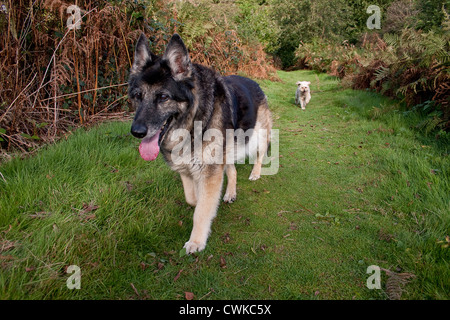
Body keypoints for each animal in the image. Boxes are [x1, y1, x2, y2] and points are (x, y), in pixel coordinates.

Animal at [128, 33, 272, 254]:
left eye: (163, 97)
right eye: (138, 96)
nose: (136, 132)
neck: (193, 120)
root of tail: (254, 82)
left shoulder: (210, 172)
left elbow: (202, 210)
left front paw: (196, 241)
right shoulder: (188, 170)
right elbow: (193, 199)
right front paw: (199, 201)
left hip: (258, 138)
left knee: (259, 156)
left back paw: (255, 173)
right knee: (232, 170)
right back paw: (230, 192)